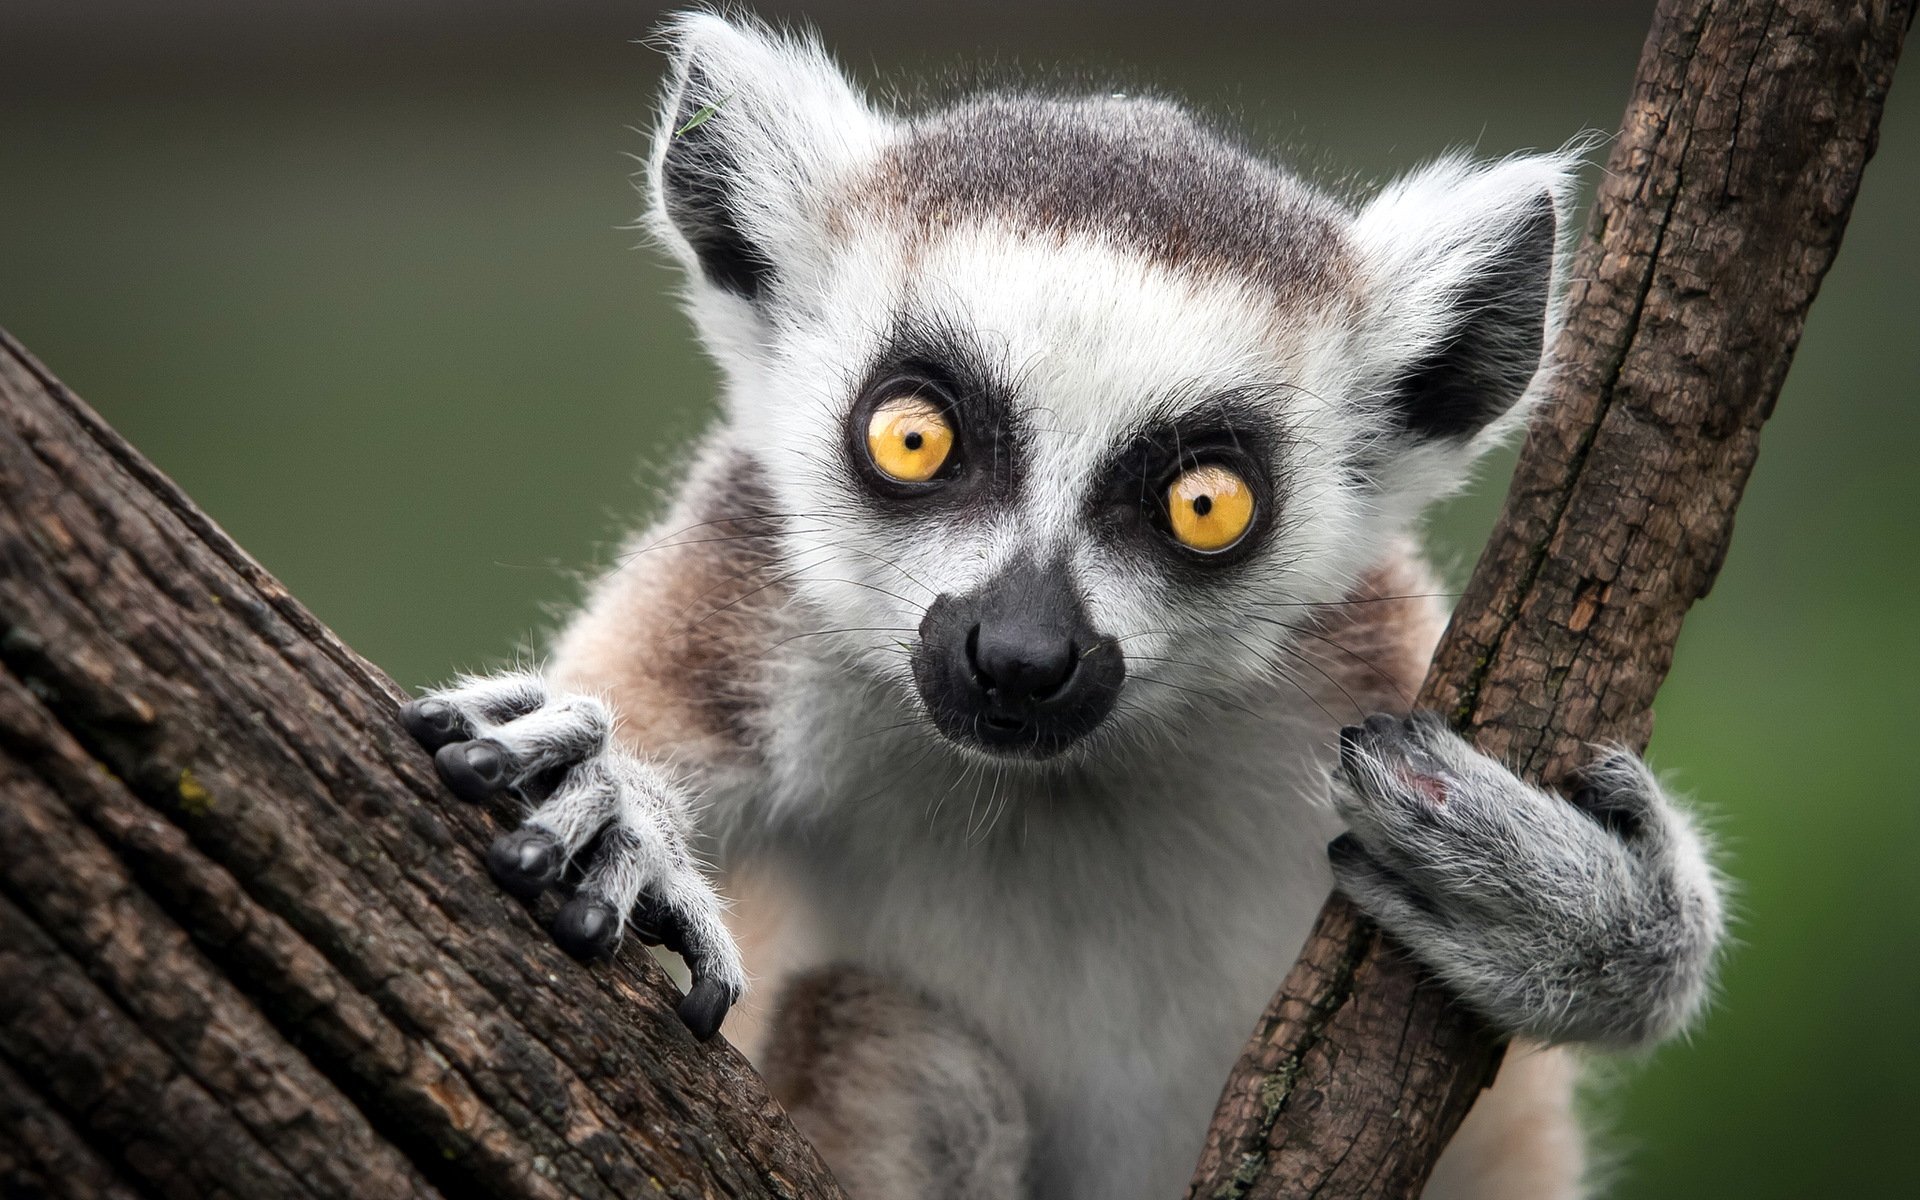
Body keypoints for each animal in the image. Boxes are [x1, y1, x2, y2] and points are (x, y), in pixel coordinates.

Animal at [399, 14, 1724, 1199]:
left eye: (1204, 502)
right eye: (913, 435)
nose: (1020, 656)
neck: (1051, 786)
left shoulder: (1365, 657)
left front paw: (1583, 912)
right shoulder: (755, 597)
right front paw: (613, 795)